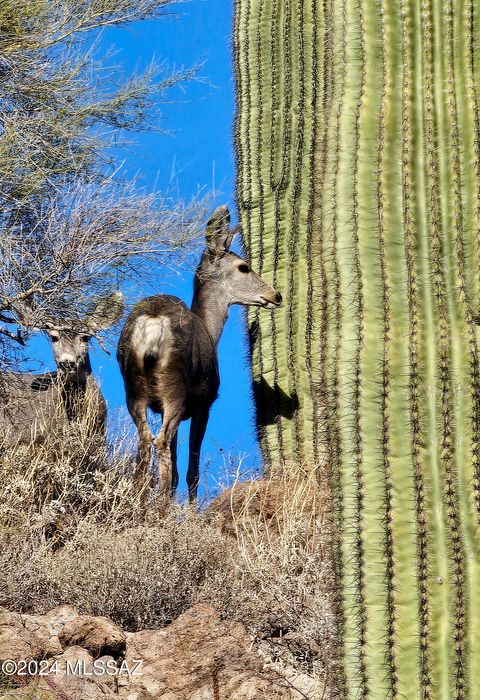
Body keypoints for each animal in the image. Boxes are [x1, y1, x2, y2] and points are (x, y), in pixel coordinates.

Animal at [116, 205, 282, 500]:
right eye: (244, 267)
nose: (275, 295)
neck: (210, 329)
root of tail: (152, 324)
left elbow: (177, 467)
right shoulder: (204, 402)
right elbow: (191, 470)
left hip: (132, 388)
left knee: (145, 439)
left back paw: (138, 498)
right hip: (175, 387)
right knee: (160, 441)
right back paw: (161, 505)